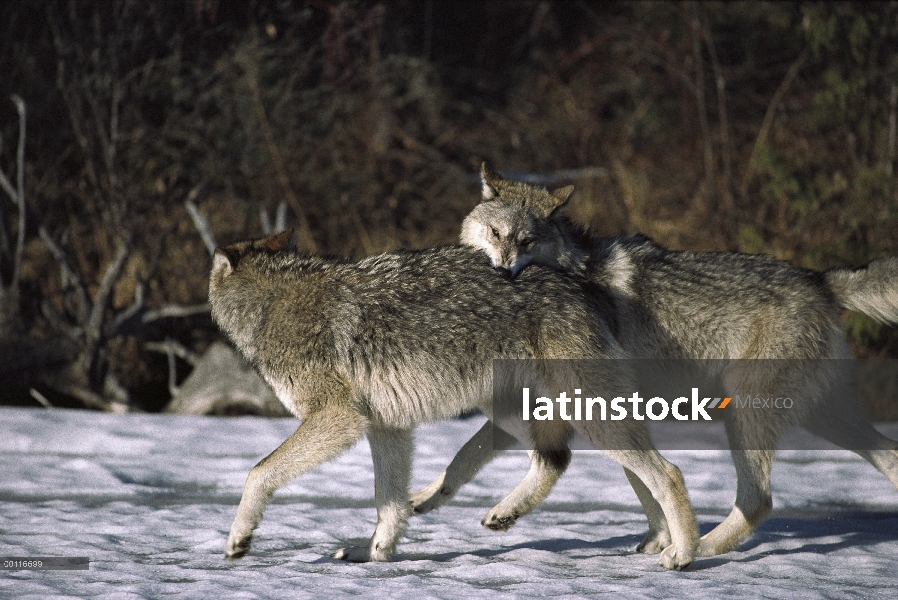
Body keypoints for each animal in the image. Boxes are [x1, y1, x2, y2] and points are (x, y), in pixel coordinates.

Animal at [210, 231, 700, 572]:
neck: (270, 304)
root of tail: (583, 286)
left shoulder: (338, 418)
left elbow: (258, 473)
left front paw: (239, 539)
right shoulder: (386, 426)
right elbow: (388, 502)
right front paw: (377, 551)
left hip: (581, 412)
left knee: (667, 472)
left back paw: (682, 553)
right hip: (517, 411)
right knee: (557, 459)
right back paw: (506, 513)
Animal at [410, 163, 896, 556]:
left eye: (526, 240)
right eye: (496, 233)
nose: (502, 272)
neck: (577, 272)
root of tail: (821, 279)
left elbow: (631, 475)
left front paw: (668, 542)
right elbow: (465, 456)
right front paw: (425, 498)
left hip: (746, 414)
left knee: (758, 500)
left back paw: (698, 549)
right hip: (823, 416)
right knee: (889, 458)